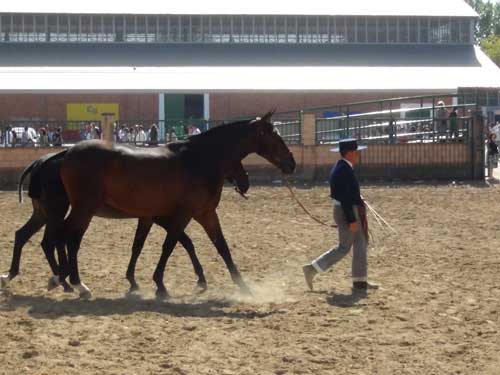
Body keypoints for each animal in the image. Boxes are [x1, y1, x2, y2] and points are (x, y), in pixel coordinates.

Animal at [0, 148, 250, 296]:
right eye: (235, 162)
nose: (245, 182)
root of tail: (43, 162)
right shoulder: (164, 217)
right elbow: (181, 242)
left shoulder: (151, 217)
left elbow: (145, 245)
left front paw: (134, 280)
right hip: (61, 213)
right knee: (57, 240)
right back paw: (67, 281)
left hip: (45, 213)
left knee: (27, 236)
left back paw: (23, 276)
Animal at [57, 113, 296, 298]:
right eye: (275, 137)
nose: (291, 164)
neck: (200, 160)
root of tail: (67, 152)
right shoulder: (183, 215)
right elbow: (170, 245)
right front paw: (159, 284)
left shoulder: (205, 214)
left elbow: (221, 247)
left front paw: (243, 286)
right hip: (84, 209)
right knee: (68, 237)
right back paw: (74, 282)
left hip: (84, 211)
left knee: (66, 236)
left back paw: (67, 281)